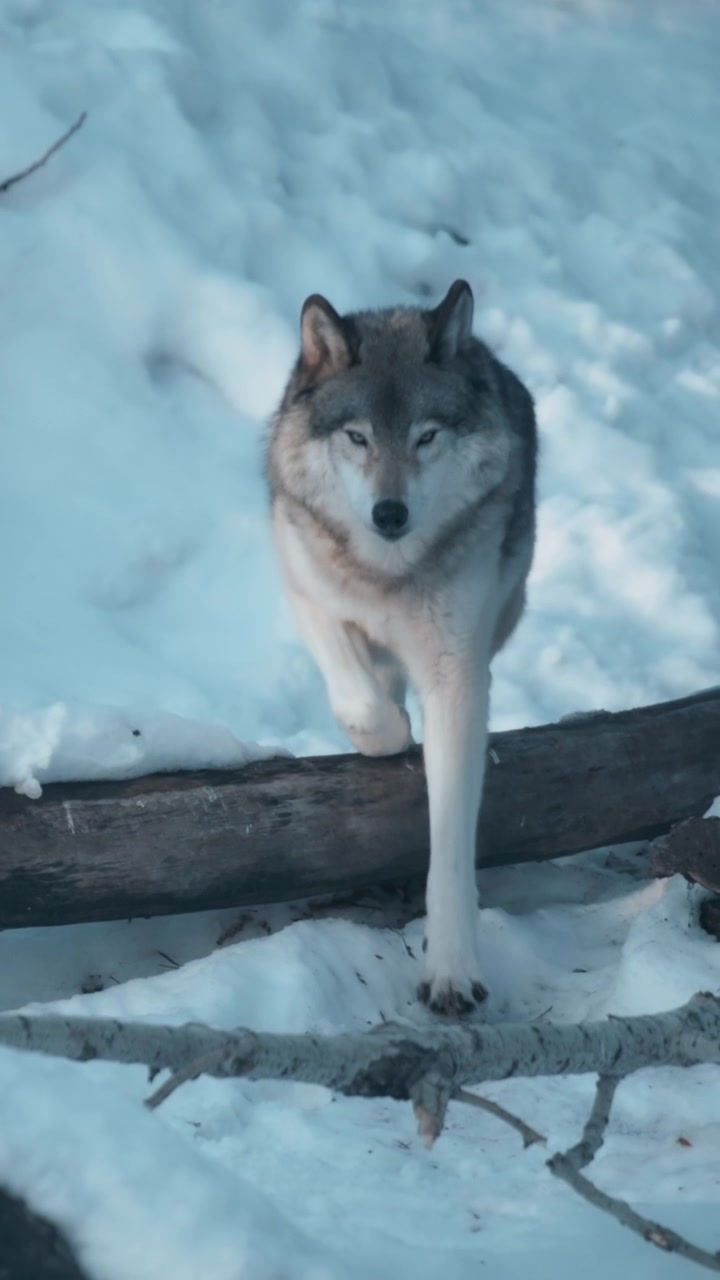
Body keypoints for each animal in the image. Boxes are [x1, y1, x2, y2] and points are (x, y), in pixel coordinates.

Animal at [267, 280, 537, 1015]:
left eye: (426, 436)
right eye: (357, 436)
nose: (389, 514)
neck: (387, 573)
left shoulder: (456, 671)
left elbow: (451, 835)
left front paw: (451, 970)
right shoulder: (302, 581)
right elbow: (363, 702)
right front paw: (384, 738)